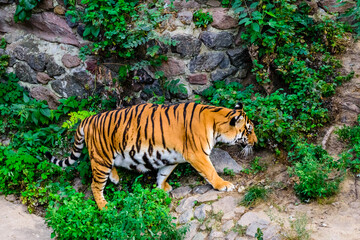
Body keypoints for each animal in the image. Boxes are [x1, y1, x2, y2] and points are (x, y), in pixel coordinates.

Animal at [45, 102, 258, 209]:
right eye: (248, 130)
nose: (255, 142)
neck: (216, 121)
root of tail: (87, 119)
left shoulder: (173, 156)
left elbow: (163, 173)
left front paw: (162, 187)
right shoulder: (197, 154)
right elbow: (211, 171)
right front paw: (224, 185)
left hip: (106, 157)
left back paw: (115, 178)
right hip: (101, 158)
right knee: (95, 185)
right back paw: (105, 207)